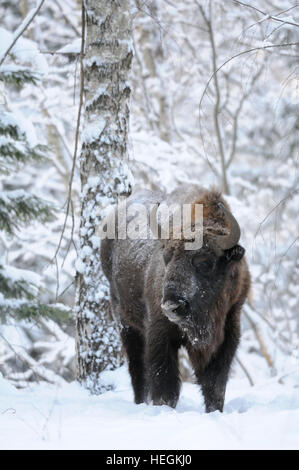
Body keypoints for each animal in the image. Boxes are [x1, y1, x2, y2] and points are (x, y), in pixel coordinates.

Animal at [101, 184, 251, 412]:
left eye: (205, 262)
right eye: (167, 258)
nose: (171, 306)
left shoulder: (229, 330)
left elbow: (215, 385)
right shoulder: (160, 335)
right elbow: (165, 384)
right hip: (126, 324)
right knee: (137, 370)